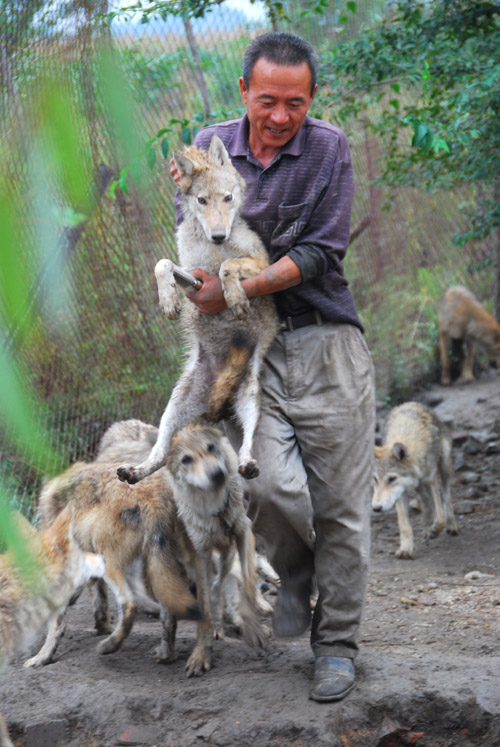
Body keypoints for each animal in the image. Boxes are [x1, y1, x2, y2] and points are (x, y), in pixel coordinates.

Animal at [117, 133, 280, 486]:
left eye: (228, 198)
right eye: (202, 201)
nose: (219, 235)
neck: (212, 246)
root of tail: (217, 394)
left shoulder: (261, 264)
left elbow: (229, 267)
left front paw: (235, 298)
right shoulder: (193, 276)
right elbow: (162, 264)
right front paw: (167, 300)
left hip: (251, 398)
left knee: (246, 444)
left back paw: (248, 464)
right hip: (173, 409)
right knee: (160, 454)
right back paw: (134, 471)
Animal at [372, 400, 458, 560]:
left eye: (391, 478)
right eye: (375, 479)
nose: (376, 508)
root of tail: (412, 403)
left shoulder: (430, 480)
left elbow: (440, 517)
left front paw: (436, 529)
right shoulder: (400, 494)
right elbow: (404, 525)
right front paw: (405, 549)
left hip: (444, 468)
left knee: (446, 497)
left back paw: (451, 526)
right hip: (419, 486)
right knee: (426, 503)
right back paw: (427, 527)